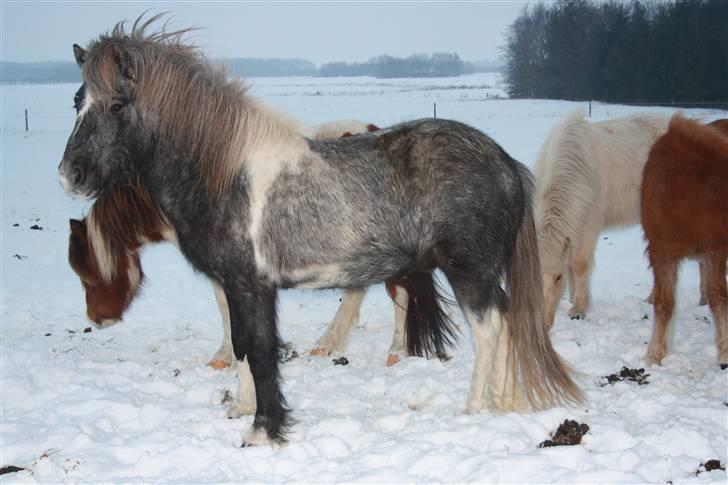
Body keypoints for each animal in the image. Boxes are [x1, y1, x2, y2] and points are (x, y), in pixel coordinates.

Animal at [55, 18, 580, 444]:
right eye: (78, 100)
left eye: (118, 104)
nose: (69, 175)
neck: (224, 172)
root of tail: (503, 161)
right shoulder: (235, 285)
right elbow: (241, 346)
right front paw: (244, 409)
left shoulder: (251, 285)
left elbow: (261, 353)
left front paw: (264, 433)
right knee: (508, 321)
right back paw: (503, 404)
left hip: (468, 269)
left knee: (489, 329)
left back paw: (473, 410)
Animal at [644, 115, 728, 366]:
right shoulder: (661, 252)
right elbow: (664, 303)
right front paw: (655, 354)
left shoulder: (715, 251)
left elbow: (719, 297)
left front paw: (724, 351)